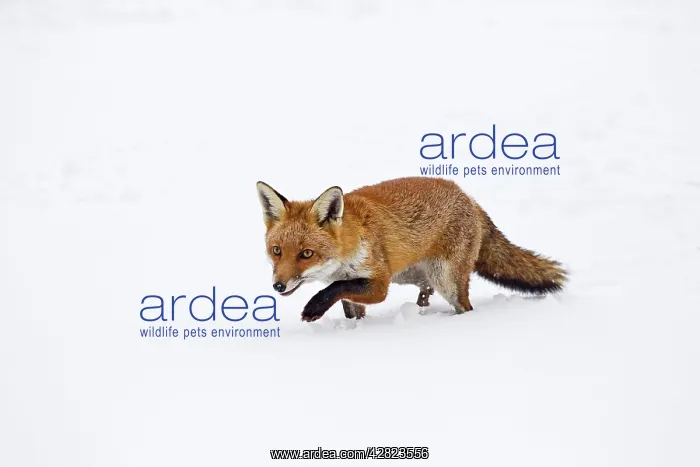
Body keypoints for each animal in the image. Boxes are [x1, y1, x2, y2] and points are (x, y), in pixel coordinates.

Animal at [256, 177, 567, 322]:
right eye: (276, 251)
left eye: (306, 254)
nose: (278, 286)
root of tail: (468, 197)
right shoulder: (354, 286)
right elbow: (347, 303)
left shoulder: (379, 284)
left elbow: (336, 289)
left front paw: (314, 308)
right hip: (415, 275)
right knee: (425, 294)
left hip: (446, 280)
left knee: (464, 306)